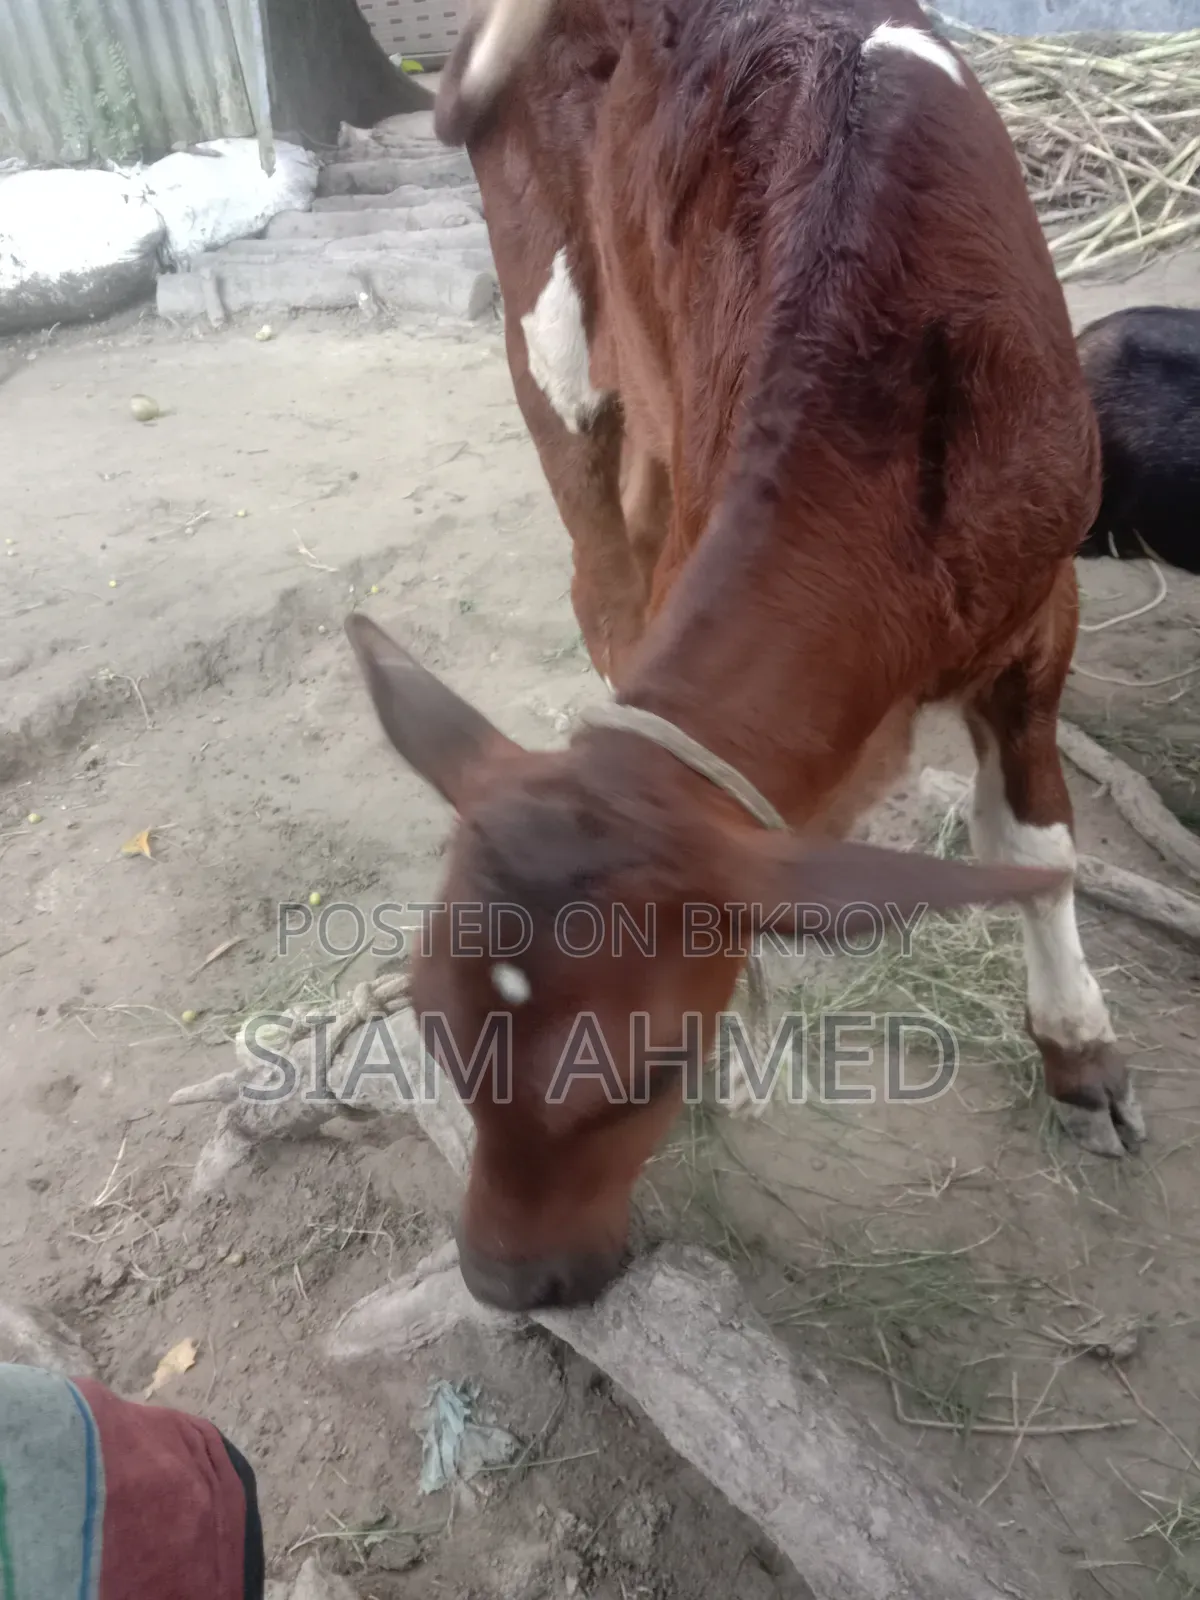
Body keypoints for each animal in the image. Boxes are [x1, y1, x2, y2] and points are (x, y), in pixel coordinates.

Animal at [345, 0, 1145, 1313]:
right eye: (431, 1030)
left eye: (654, 1070)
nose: (508, 1281)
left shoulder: (1046, 606)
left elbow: (1036, 843)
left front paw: (1081, 1050)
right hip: (553, 335)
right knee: (599, 575)